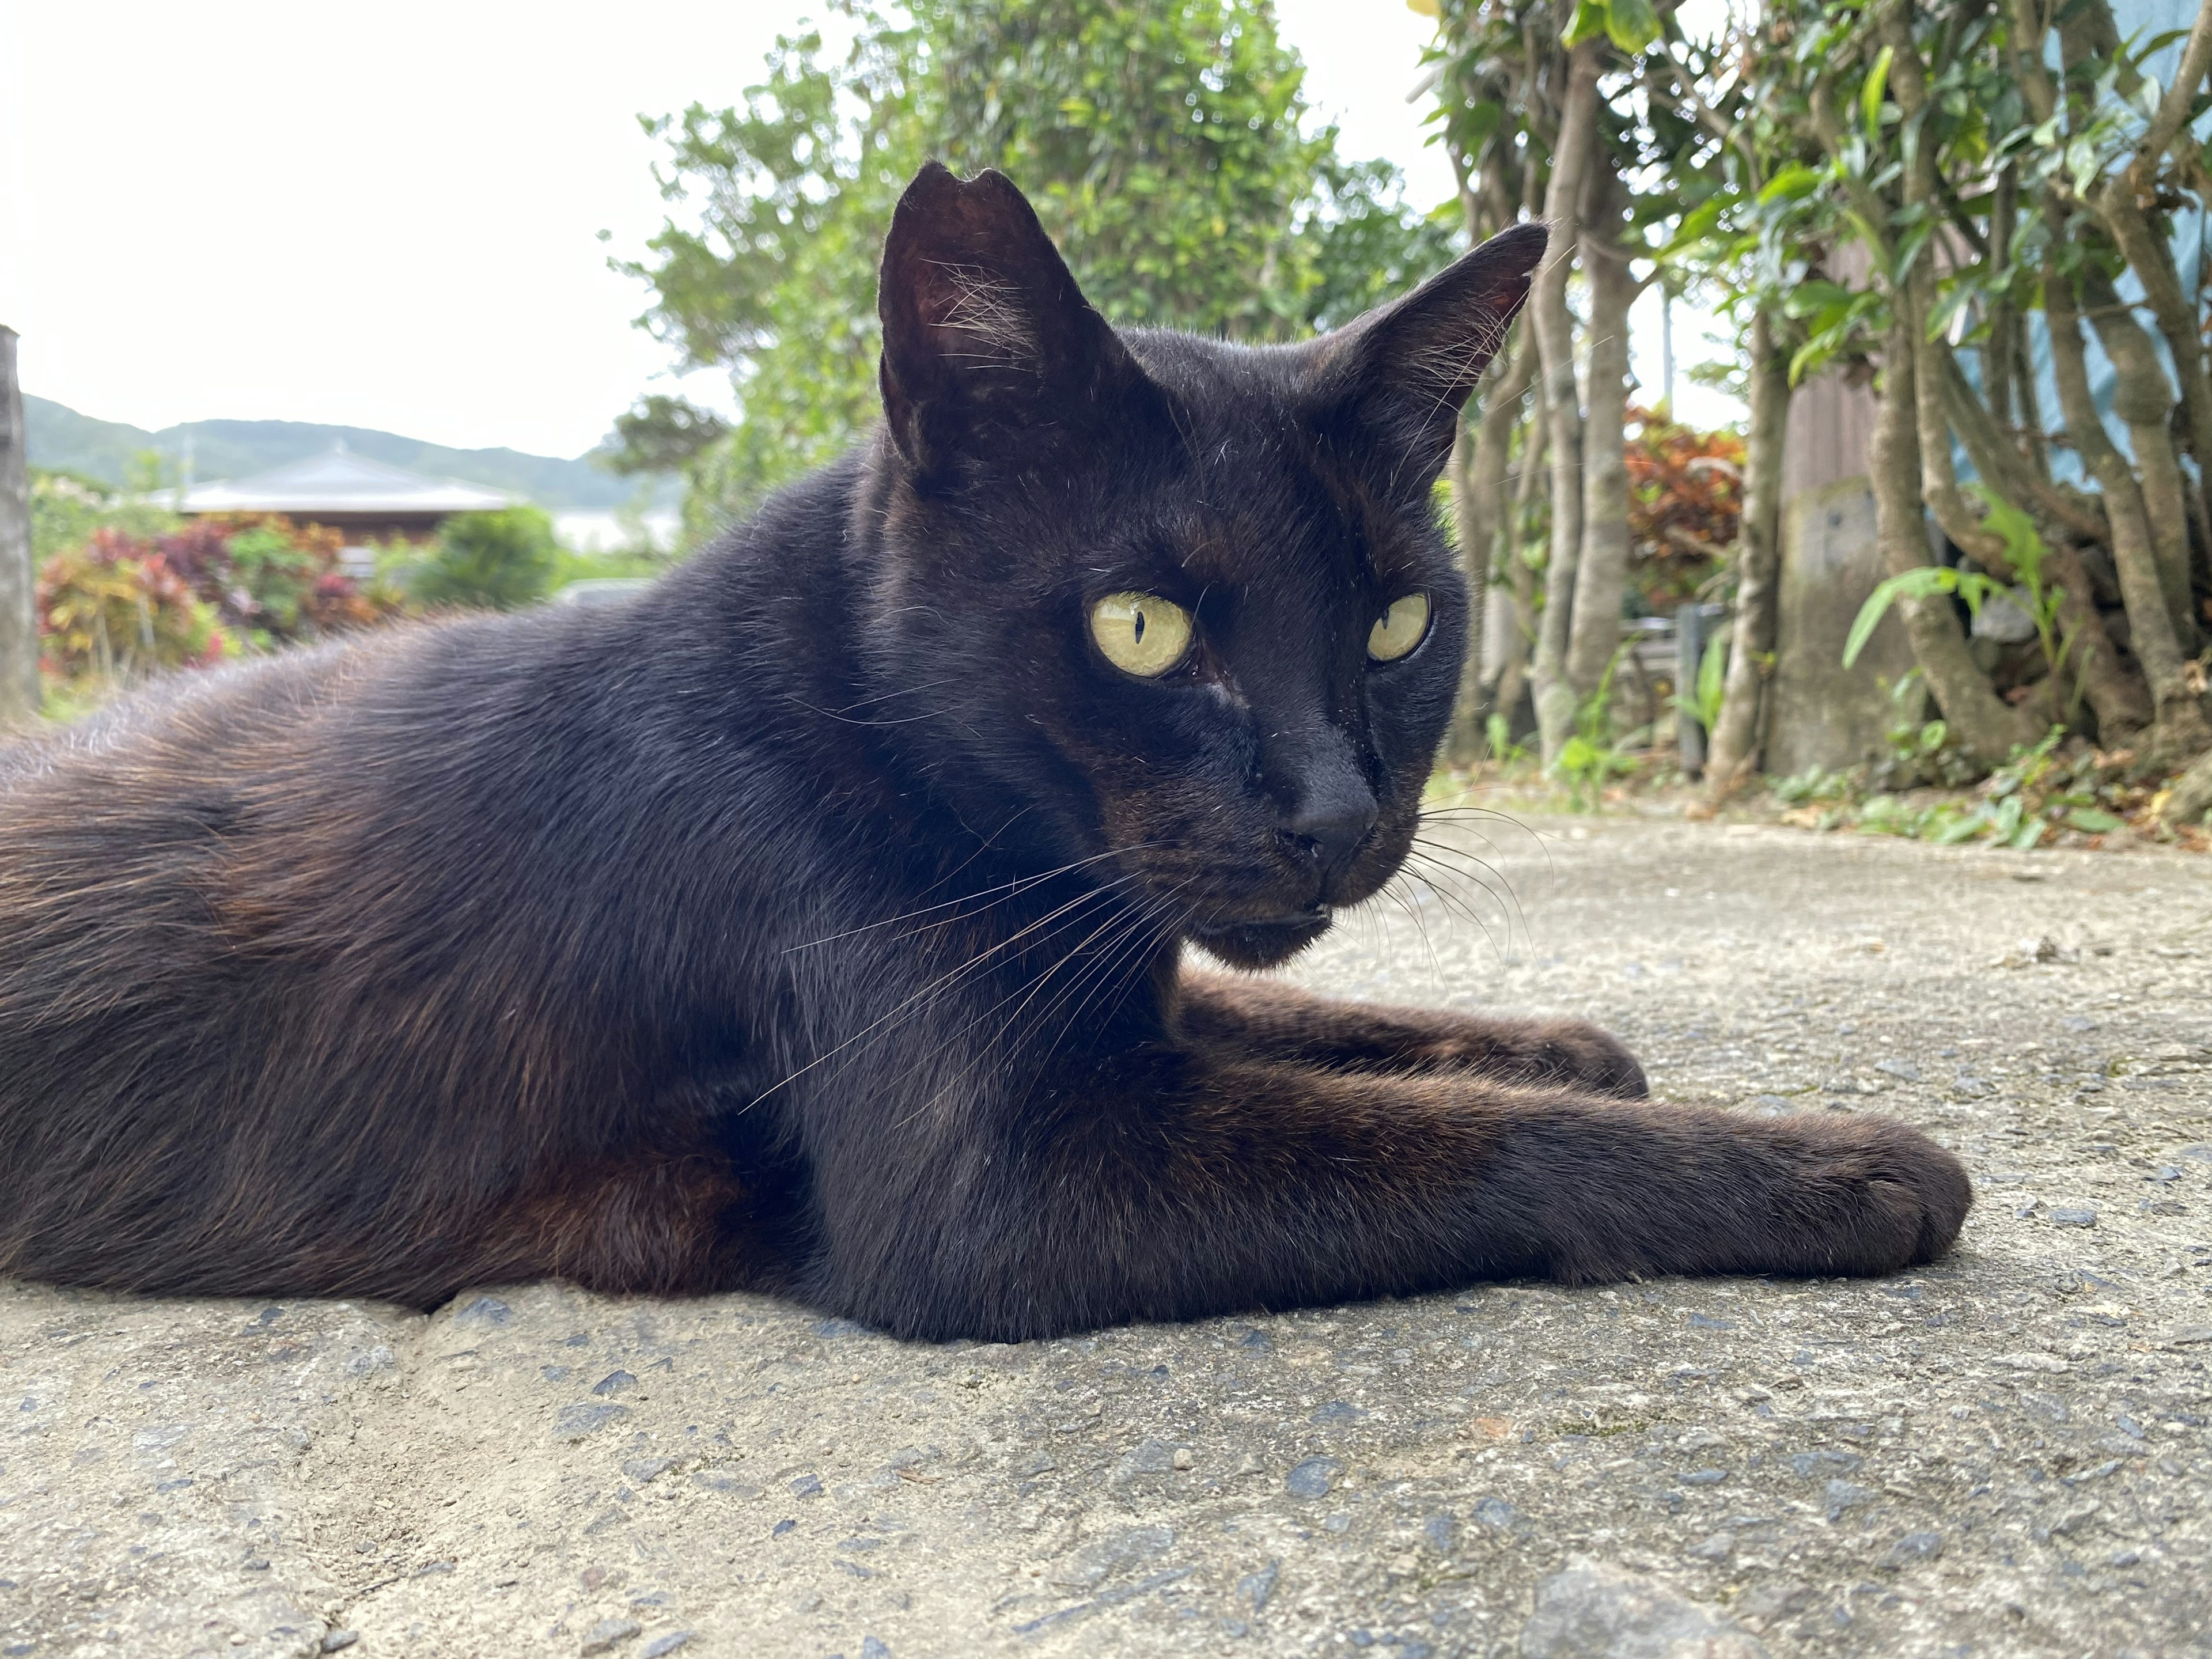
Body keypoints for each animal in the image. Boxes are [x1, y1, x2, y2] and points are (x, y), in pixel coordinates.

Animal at [0, 166, 1973, 1336]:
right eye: (1141, 630)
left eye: (1397, 629)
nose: (1335, 808)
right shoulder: (999, 1193)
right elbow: (1456, 1142)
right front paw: (1827, 1167)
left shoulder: (1126, 995)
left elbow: (1320, 1027)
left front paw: (1566, 1043)